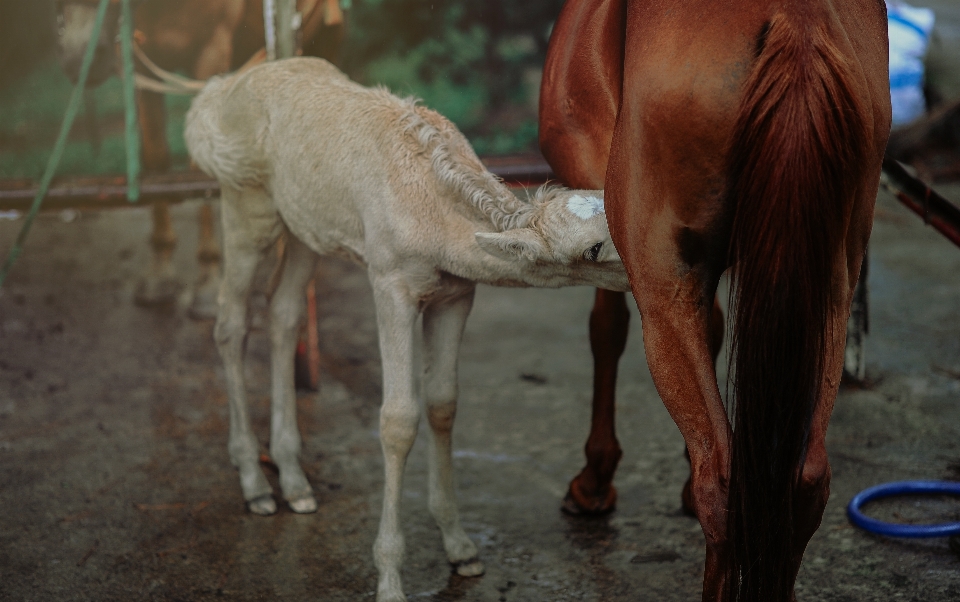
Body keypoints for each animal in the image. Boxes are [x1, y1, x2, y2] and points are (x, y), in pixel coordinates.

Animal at [54, 0, 344, 316]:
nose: (80, 58)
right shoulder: (145, 68)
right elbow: (156, 156)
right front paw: (160, 273)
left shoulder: (210, 53)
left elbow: (200, 168)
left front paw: (207, 282)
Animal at [540, 1, 892, 600]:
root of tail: (797, 20)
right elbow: (715, 329)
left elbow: (606, 330)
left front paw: (594, 479)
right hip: (830, 285)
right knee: (805, 480)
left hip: (661, 282)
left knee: (722, 485)